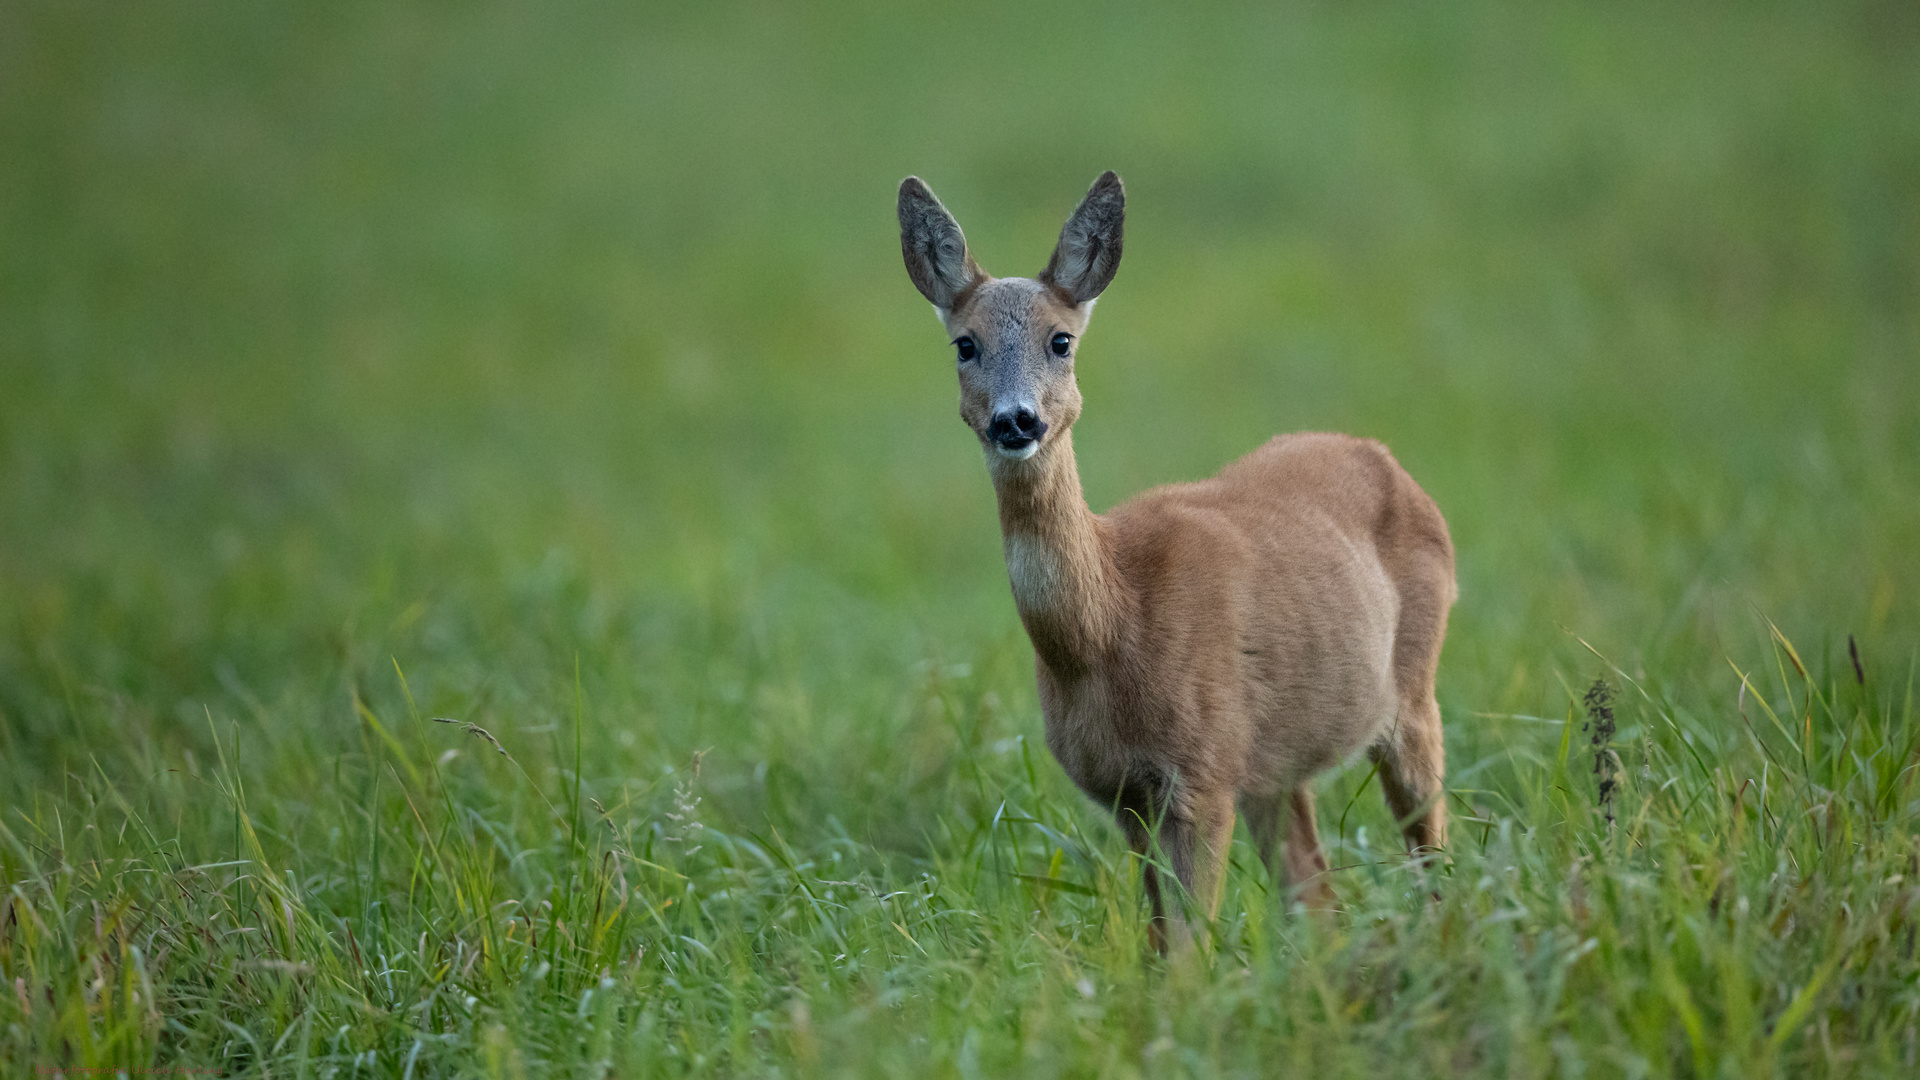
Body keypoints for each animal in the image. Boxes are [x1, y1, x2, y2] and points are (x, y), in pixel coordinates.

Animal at [898, 166, 1451, 941]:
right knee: (1316, 894)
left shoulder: (1202, 771)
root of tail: (1386, 458)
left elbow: (1192, 946)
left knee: (1432, 850)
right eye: (964, 345)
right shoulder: (1127, 793)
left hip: (1412, 689)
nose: (1017, 420)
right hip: (1274, 763)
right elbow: (1163, 942)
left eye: (1061, 340)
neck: (1108, 631)